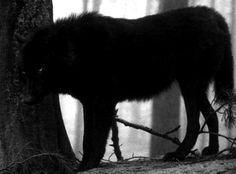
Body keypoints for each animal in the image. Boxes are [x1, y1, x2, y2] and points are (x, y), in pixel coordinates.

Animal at [19, 6, 233, 171]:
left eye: (41, 68)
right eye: (26, 72)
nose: (26, 100)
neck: (80, 51)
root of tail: (215, 15)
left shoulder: (104, 102)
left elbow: (98, 138)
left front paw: (91, 164)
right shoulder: (88, 103)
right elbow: (87, 138)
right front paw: (82, 166)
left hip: (189, 86)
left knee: (195, 123)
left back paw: (178, 155)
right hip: (194, 88)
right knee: (212, 114)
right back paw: (212, 150)